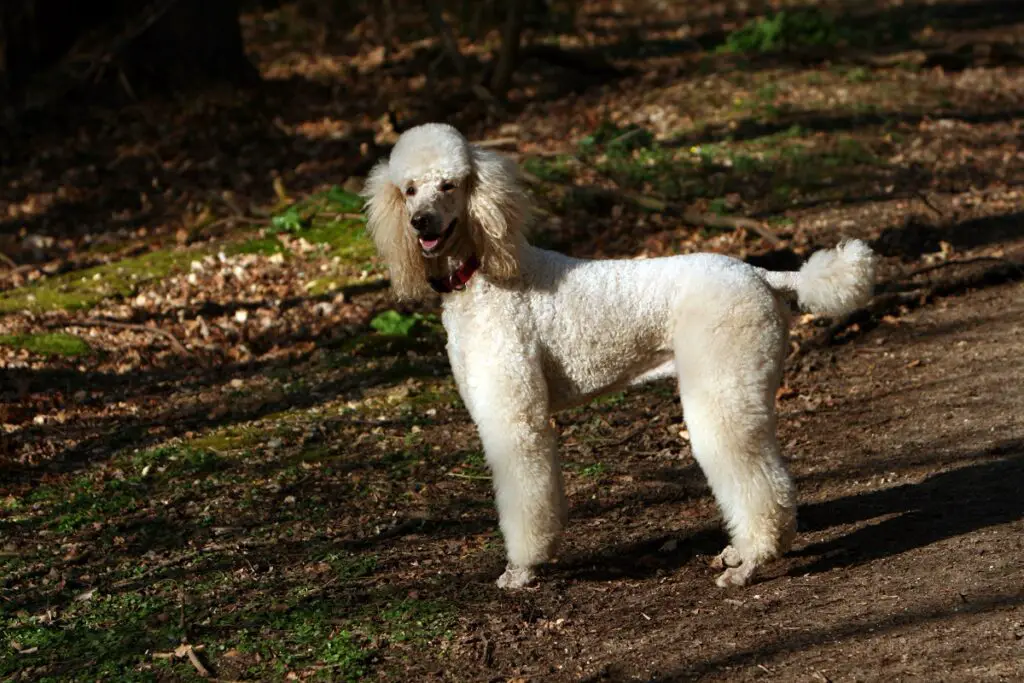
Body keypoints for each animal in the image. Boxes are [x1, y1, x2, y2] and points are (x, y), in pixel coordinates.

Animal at [360, 121, 872, 589]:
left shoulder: (515, 418)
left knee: (756, 483)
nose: (420, 221)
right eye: (408, 190)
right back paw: (740, 552)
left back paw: (752, 562)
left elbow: (524, 493)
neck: (484, 274)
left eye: (450, 185)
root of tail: (764, 276)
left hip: (723, 386)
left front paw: (522, 568)